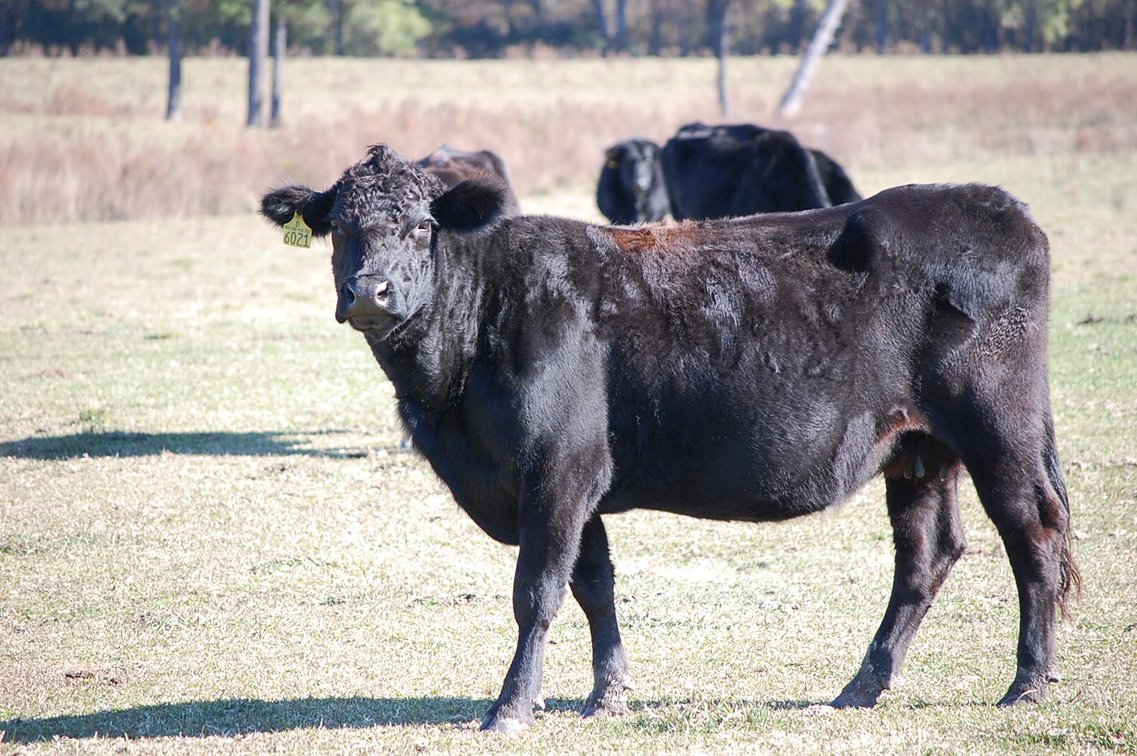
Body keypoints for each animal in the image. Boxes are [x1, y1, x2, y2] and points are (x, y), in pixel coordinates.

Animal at [261, 144, 1078, 733]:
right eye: (340, 229)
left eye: (422, 226)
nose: (369, 293)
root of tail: (997, 205)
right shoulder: (576, 483)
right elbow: (594, 586)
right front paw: (607, 696)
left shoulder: (556, 468)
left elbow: (537, 592)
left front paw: (511, 708)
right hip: (917, 451)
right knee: (926, 554)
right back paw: (860, 687)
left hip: (997, 429)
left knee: (1033, 533)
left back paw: (1028, 683)